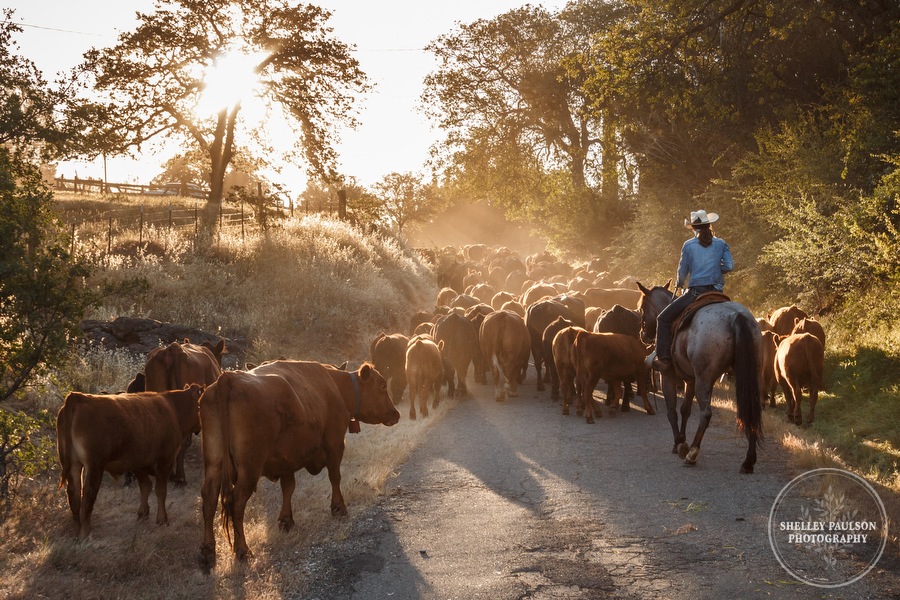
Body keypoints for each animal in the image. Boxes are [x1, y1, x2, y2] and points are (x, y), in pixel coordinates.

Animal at [56, 384, 204, 540]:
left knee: (74, 495)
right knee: (88, 494)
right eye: (199, 405)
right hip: (94, 465)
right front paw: (162, 520)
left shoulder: (138, 463)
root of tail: (77, 397)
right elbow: (160, 490)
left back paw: (77, 532)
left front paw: (143, 513)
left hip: (73, 464)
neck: (173, 409)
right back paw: (85, 533)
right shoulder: (166, 460)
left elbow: (145, 487)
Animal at [199, 360, 400, 568]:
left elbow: (288, 488)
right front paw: (339, 508)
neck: (336, 386)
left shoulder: (286, 459)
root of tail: (229, 378)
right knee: (237, 502)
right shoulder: (335, 444)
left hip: (214, 463)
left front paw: (286, 520)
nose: (396, 414)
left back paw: (207, 551)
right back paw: (242, 550)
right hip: (249, 468)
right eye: (382, 386)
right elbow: (335, 477)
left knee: (209, 499)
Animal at [636, 282, 764, 474]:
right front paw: (681, 440)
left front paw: (679, 444)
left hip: (704, 379)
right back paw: (748, 461)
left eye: (642, 308)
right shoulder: (691, 380)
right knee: (751, 412)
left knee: (706, 413)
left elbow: (672, 410)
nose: (643, 335)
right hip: (750, 376)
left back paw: (692, 454)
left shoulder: (669, 375)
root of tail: (737, 316)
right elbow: (685, 410)